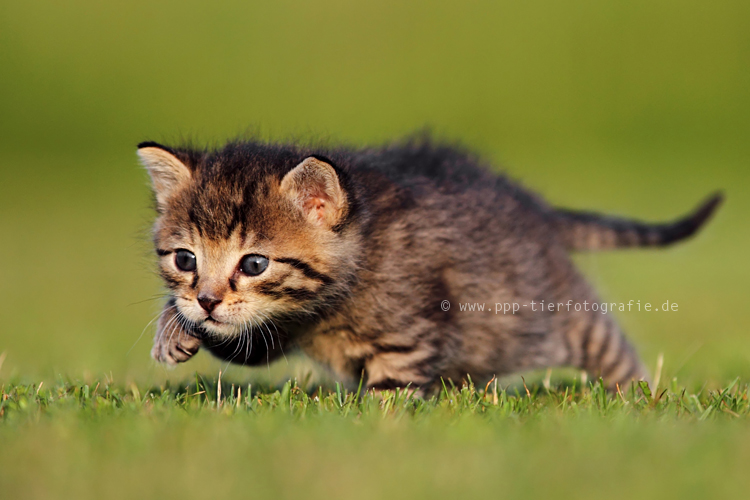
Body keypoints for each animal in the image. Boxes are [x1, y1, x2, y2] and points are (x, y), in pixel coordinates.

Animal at [140, 139, 724, 392]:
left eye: (255, 263)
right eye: (186, 259)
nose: (206, 300)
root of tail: (533, 207)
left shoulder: (410, 332)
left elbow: (393, 394)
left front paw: (384, 433)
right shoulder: (274, 331)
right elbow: (243, 343)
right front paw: (177, 328)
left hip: (553, 313)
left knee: (611, 345)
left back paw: (638, 401)